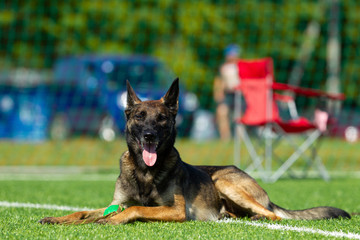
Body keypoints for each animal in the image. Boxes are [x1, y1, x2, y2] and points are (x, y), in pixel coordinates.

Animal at [38, 77, 348, 225]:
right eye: (139, 116)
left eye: (162, 118)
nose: (149, 135)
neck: (145, 171)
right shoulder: (115, 202)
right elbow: (83, 212)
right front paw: (57, 218)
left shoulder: (175, 210)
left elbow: (136, 208)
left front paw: (112, 221)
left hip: (223, 181)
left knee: (273, 215)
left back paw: (257, 217)